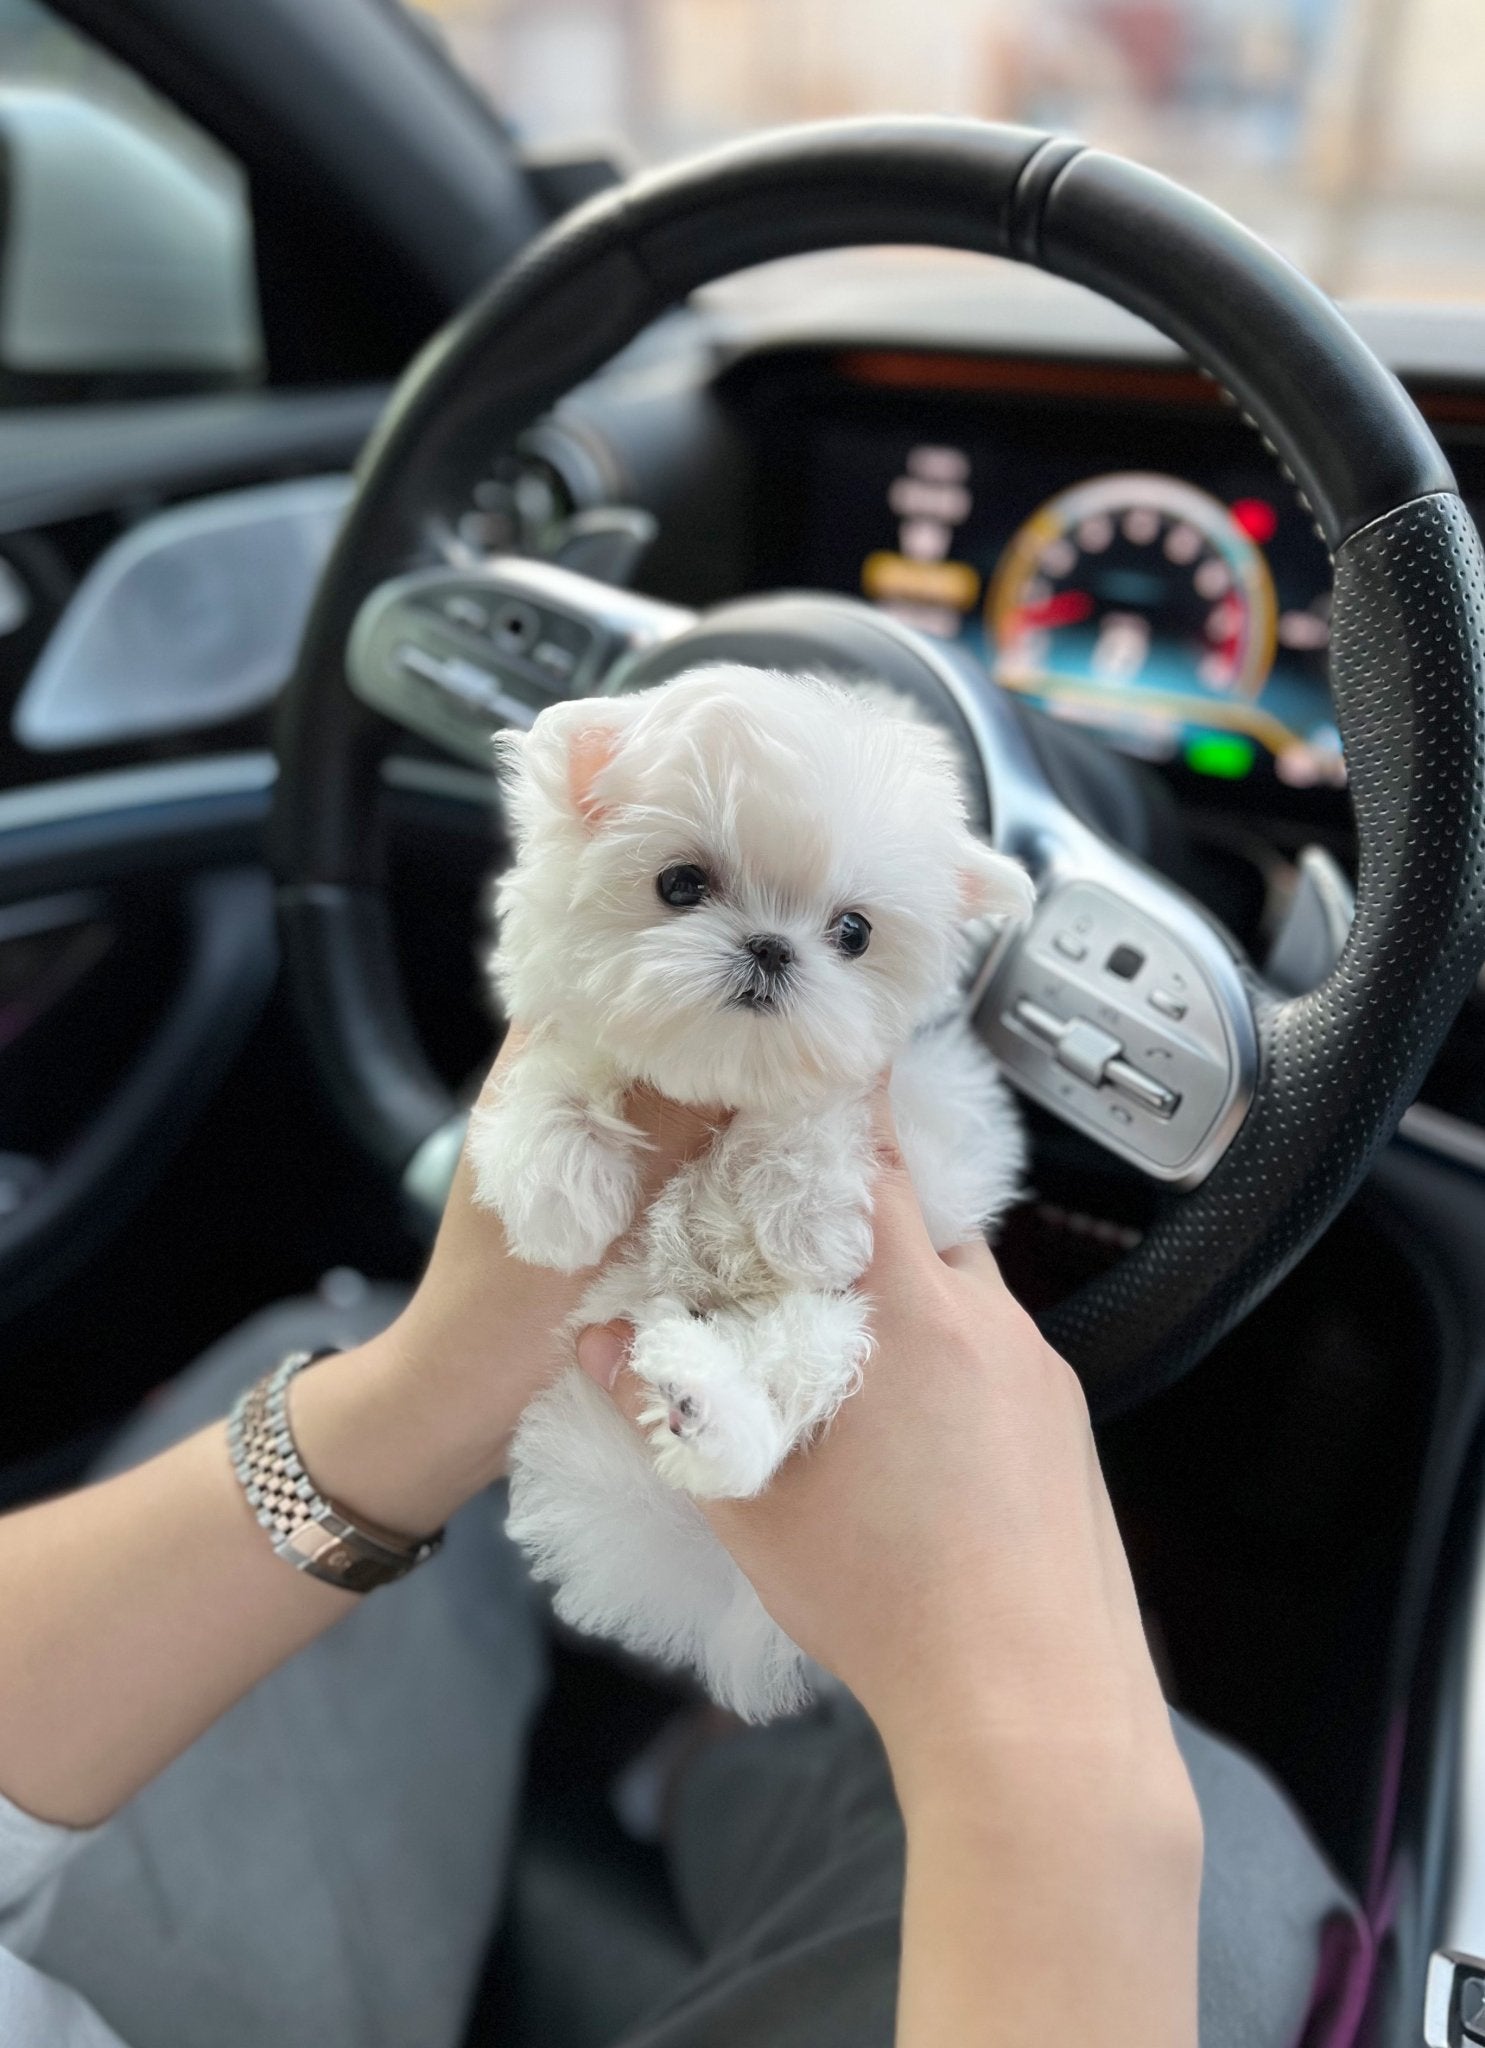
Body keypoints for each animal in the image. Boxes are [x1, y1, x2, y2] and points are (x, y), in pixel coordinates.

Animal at [475, 663, 1032, 1720]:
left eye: (853, 932)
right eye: (680, 883)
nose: (773, 946)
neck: (718, 1075)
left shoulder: (917, 1119)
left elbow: (818, 1109)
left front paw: (804, 1216)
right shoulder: (561, 1027)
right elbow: (560, 1065)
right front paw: (562, 1193)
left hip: (833, 1333)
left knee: (778, 1408)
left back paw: (706, 1406)